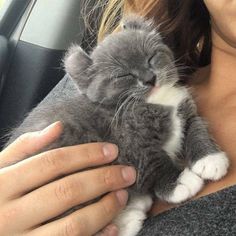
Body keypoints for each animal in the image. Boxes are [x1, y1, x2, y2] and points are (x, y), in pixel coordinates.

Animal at [6, 15, 229, 235]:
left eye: (151, 57)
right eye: (124, 75)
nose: (150, 78)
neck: (156, 101)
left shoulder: (185, 109)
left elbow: (196, 128)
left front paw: (210, 159)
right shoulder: (130, 144)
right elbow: (155, 162)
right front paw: (181, 181)